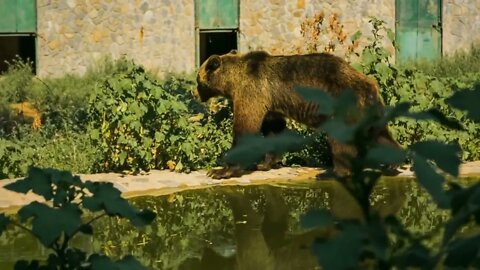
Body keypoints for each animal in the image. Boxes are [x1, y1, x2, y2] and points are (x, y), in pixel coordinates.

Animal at [197, 49, 400, 179]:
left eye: (198, 80)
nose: (196, 93)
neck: (234, 81)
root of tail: (370, 84)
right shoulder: (270, 102)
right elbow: (273, 128)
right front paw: (265, 163)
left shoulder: (252, 92)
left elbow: (245, 128)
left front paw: (220, 171)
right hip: (368, 110)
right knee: (378, 133)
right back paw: (393, 161)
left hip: (343, 104)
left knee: (340, 140)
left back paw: (336, 172)